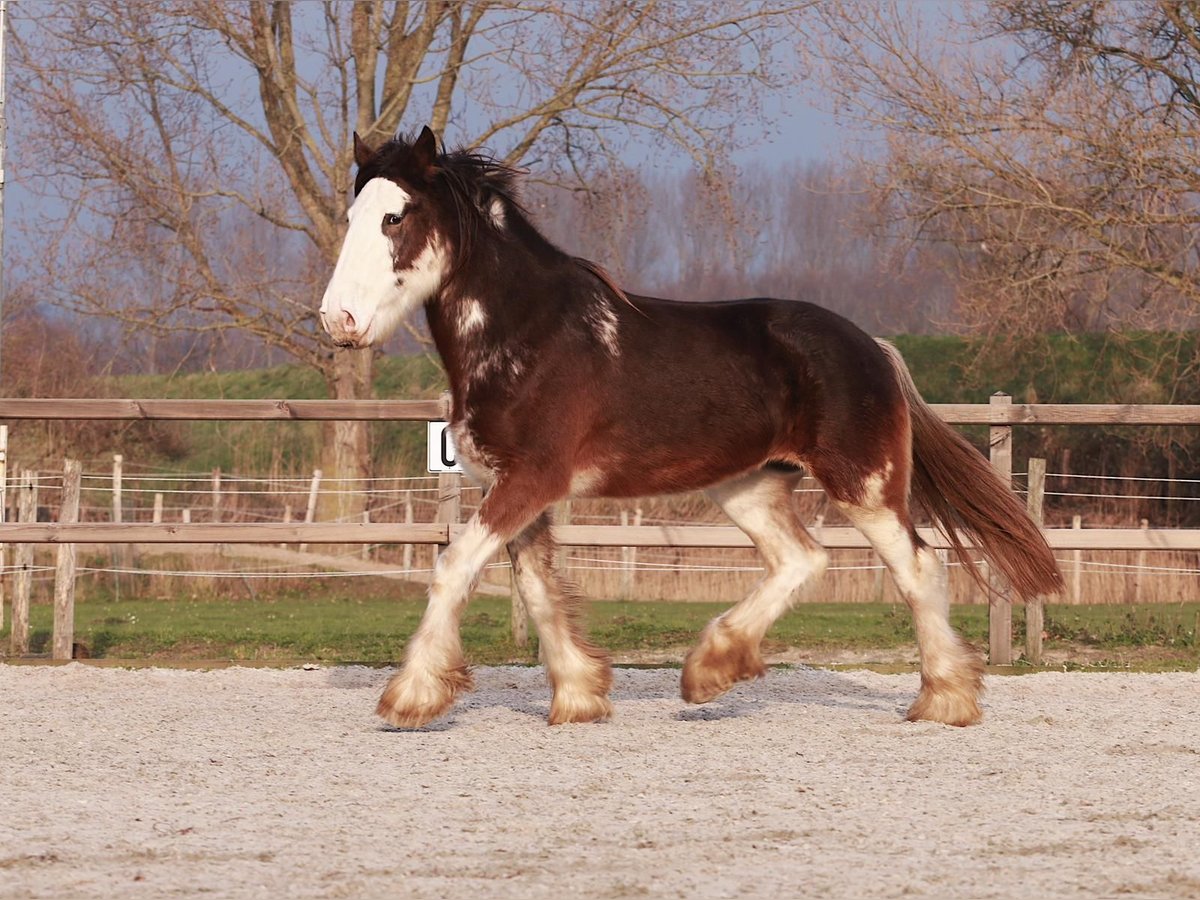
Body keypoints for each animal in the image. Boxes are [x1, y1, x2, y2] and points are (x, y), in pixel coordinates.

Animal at [316, 127, 1060, 729]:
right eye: (352, 215)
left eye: (395, 216)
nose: (338, 320)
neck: (528, 337)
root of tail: (873, 346)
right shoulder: (515, 490)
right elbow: (537, 589)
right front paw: (580, 697)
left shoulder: (529, 480)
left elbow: (452, 569)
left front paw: (412, 696)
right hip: (748, 486)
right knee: (802, 560)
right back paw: (710, 669)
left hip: (865, 486)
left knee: (919, 569)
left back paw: (944, 702)